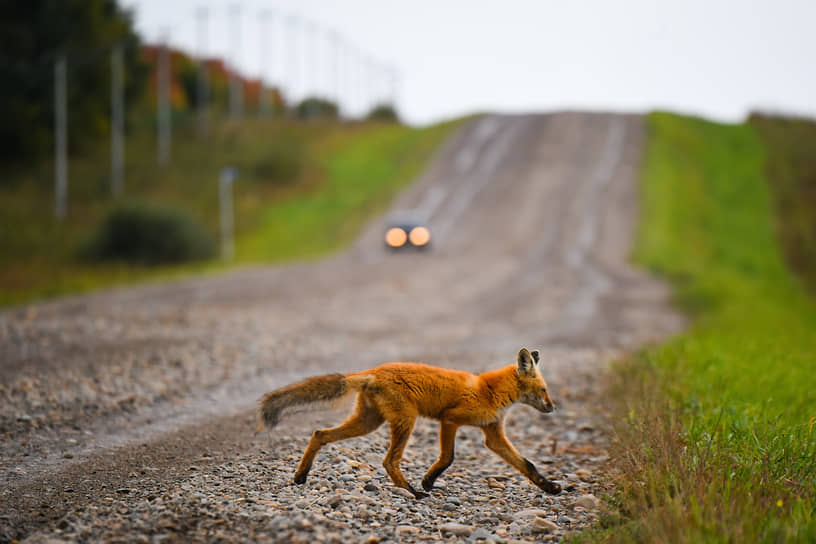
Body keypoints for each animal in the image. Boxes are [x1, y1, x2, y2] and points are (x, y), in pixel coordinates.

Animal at [258, 348, 564, 498]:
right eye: (544, 390)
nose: (552, 407)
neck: (489, 391)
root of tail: (374, 371)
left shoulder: (493, 435)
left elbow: (527, 465)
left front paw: (549, 488)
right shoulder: (450, 419)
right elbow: (448, 457)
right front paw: (428, 481)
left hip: (368, 423)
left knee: (319, 434)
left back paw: (301, 476)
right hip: (406, 420)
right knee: (389, 461)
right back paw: (412, 493)